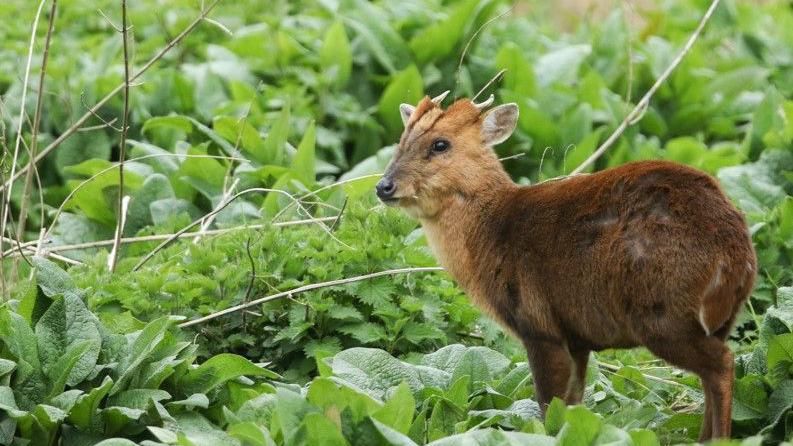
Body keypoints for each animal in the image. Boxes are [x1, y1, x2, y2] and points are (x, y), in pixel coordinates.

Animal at [376, 91, 756, 440]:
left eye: (440, 144)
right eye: (401, 141)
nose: (383, 186)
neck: (490, 234)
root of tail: (736, 253)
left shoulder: (539, 325)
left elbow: (549, 406)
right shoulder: (577, 336)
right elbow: (573, 405)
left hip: (663, 314)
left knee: (722, 364)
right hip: (713, 320)